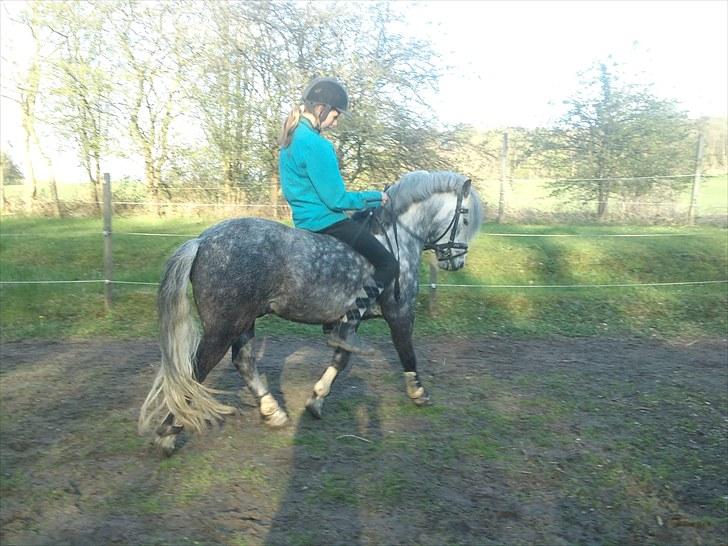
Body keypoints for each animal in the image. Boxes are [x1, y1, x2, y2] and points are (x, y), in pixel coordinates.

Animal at [138, 170, 484, 455]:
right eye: (465, 218)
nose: (457, 262)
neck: (396, 239)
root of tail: (202, 240)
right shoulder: (399, 313)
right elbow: (407, 352)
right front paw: (418, 392)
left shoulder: (350, 322)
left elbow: (341, 359)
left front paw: (316, 400)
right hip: (222, 327)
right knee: (195, 372)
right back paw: (168, 434)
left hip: (243, 322)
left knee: (243, 362)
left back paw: (273, 411)